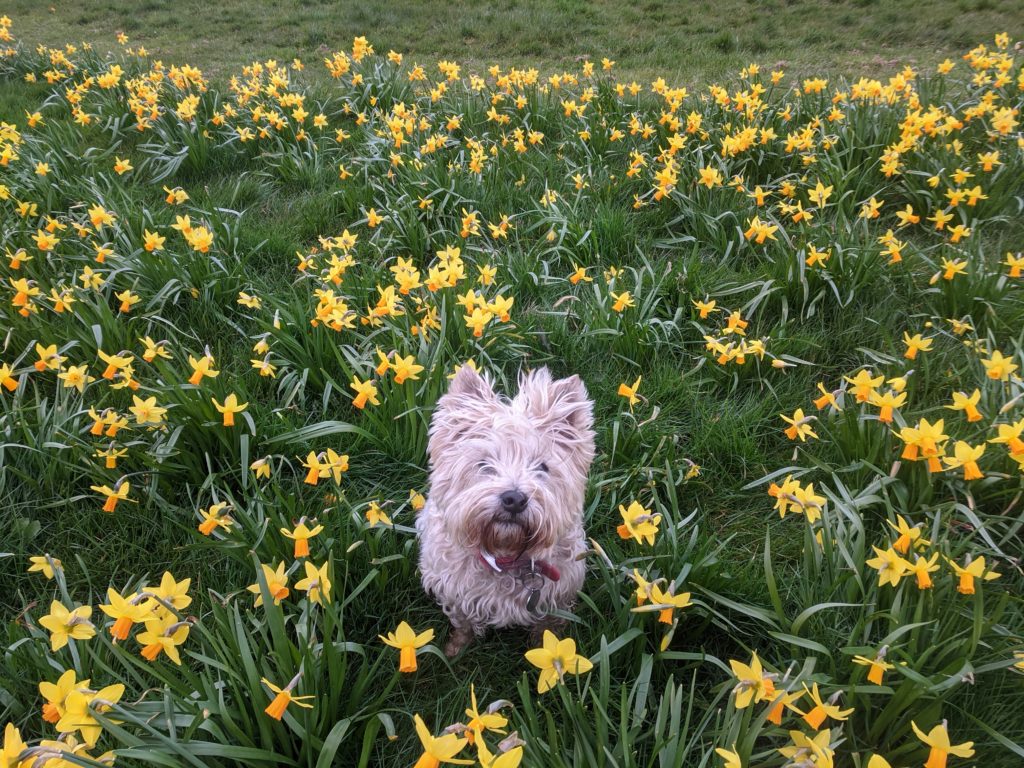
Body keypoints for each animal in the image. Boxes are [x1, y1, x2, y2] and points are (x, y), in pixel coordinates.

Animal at [413, 366, 593, 655]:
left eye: (542, 467)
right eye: (484, 464)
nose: (514, 499)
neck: (506, 552)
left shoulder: (559, 595)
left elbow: (547, 628)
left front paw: (545, 652)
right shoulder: (454, 590)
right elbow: (463, 624)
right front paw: (454, 651)